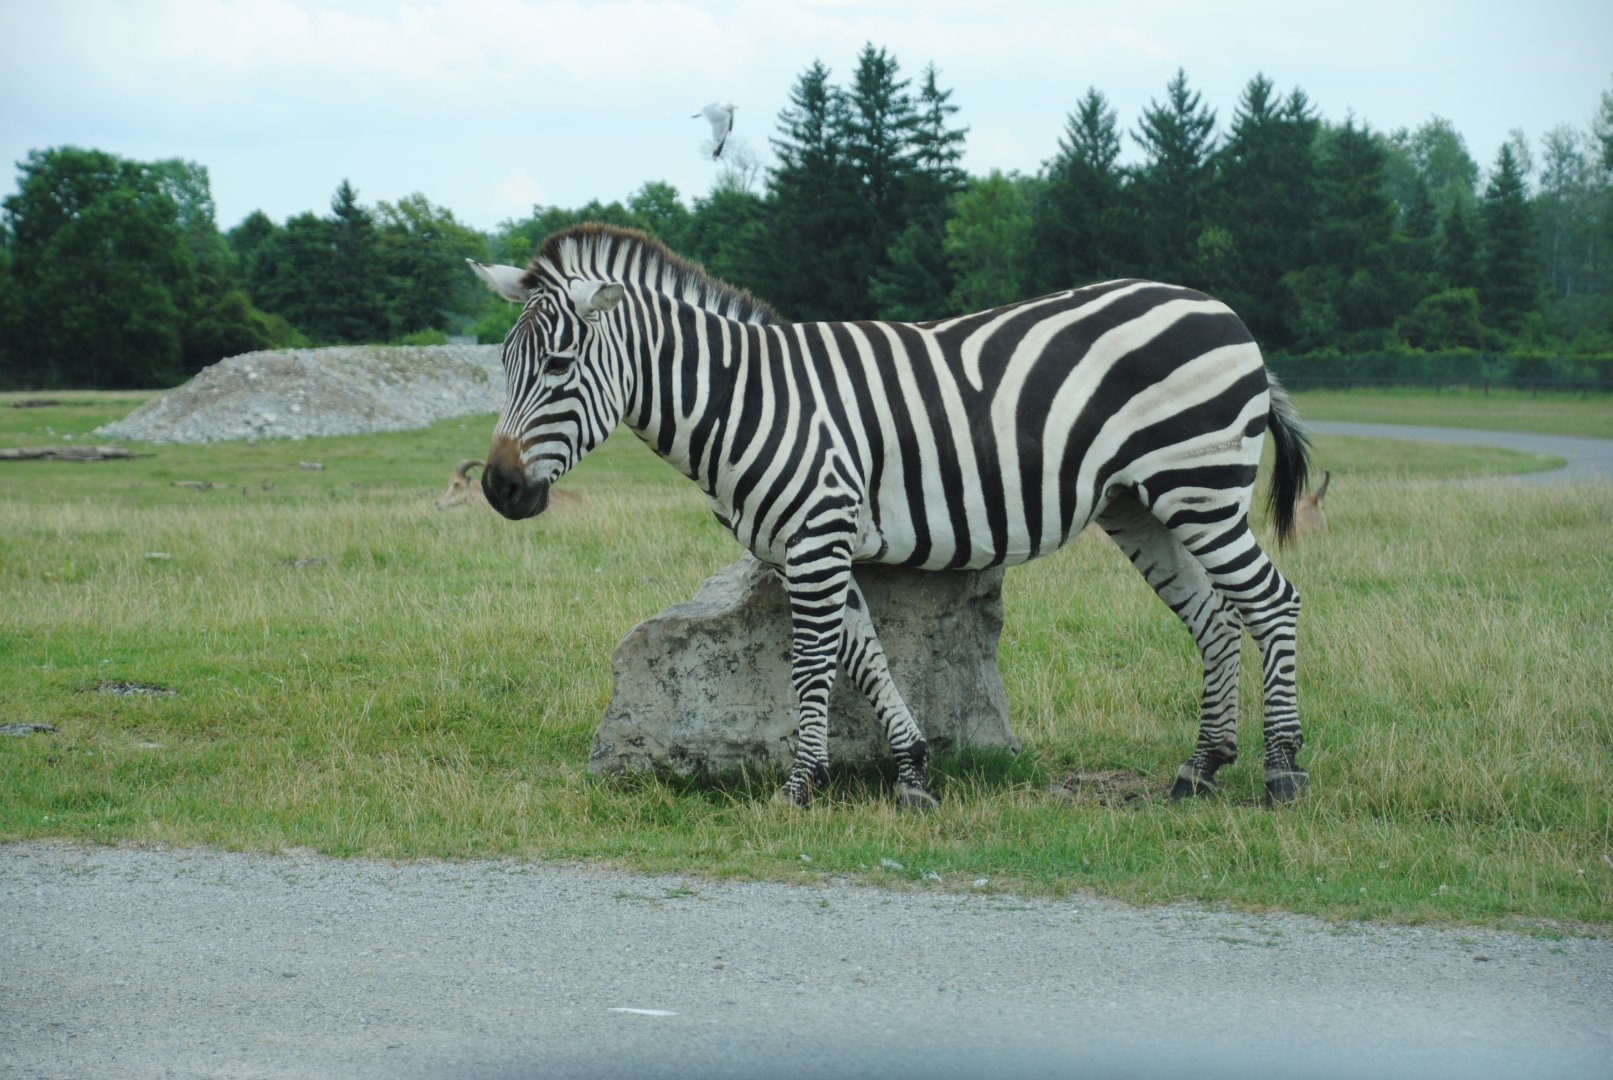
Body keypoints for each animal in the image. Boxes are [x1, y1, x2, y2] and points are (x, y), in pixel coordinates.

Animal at [469, 224, 1312, 810]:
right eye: (501, 366)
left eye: (557, 367)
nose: (498, 489)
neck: (745, 399)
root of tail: (1216, 307)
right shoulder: (808, 542)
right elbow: (865, 656)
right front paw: (911, 773)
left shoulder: (815, 534)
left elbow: (813, 665)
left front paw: (800, 786)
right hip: (1141, 503)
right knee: (1212, 618)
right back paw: (1200, 769)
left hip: (1200, 485)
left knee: (1271, 603)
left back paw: (1280, 773)